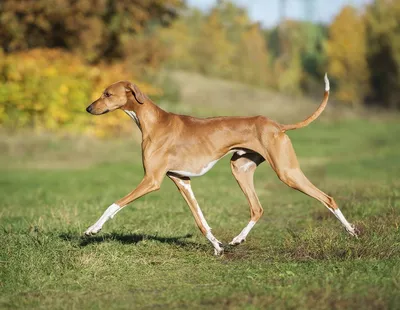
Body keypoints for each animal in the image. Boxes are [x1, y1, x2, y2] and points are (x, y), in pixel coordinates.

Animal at [83, 74, 356, 254]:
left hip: (287, 171)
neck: (153, 122)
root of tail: (277, 125)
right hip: (240, 169)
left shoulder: (151, 180)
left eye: (107, 94)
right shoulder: (182, 181)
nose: (88, 108)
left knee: (327, 198)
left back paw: (351, 231)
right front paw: (217, 246)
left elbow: (113, 205)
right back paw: (237, 239)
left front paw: (92, 229)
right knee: (257, 208)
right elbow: (201, 220)